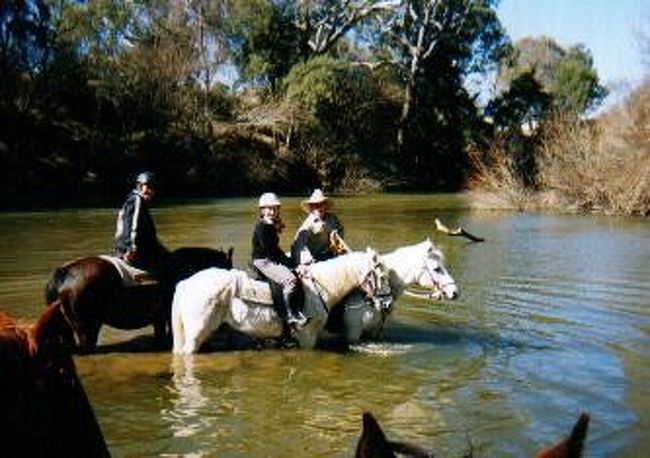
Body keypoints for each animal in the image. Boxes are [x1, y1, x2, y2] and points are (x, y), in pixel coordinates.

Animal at [170, 250, 388, 354]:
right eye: (382, 276)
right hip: (197, 333)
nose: (385, 303)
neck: (321, 287)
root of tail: (186, 282)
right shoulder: (307, 337)